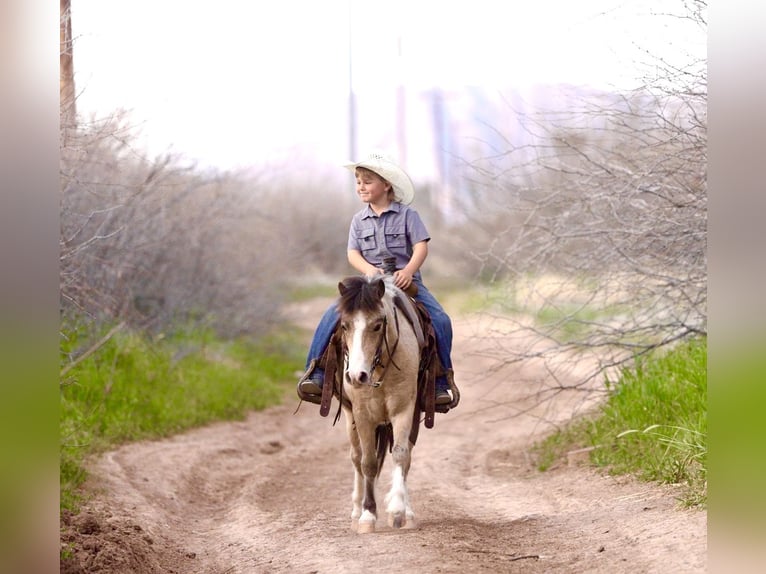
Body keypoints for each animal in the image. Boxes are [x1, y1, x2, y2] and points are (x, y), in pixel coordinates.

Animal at [335, 274, 424, 534]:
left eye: (376, 325)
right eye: (344, 326)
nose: (357, 376)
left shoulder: (405, 410)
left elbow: (401, 456)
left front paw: (398, 510)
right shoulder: (362, 415)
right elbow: (368, 463)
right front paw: (367, 515)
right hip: (349, 417)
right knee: (356, 457)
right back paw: (356, 512)